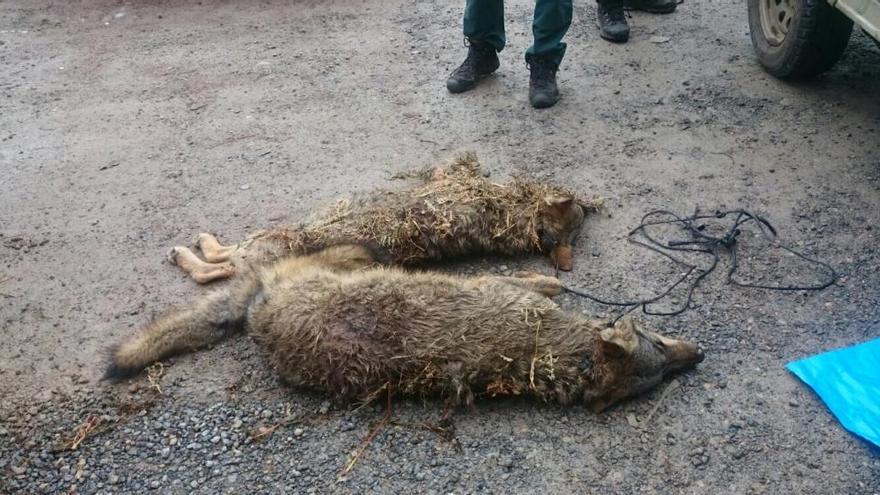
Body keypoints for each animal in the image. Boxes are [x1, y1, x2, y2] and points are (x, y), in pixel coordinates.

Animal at [108, 244, 700, 410]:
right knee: (235, 262)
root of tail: (261, 317)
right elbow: (535, 279)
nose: (699, 357)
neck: (553, 354)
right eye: (659, 339)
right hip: (340, 257)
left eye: (661, 376)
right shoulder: (505, 287)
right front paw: (552, 282)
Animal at [168, 157, 600, 284]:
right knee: (226, 254)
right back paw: (200, 242)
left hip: (269, 244)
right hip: (270, 236)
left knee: (217, 268)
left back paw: (189, 254)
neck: (526, 216)